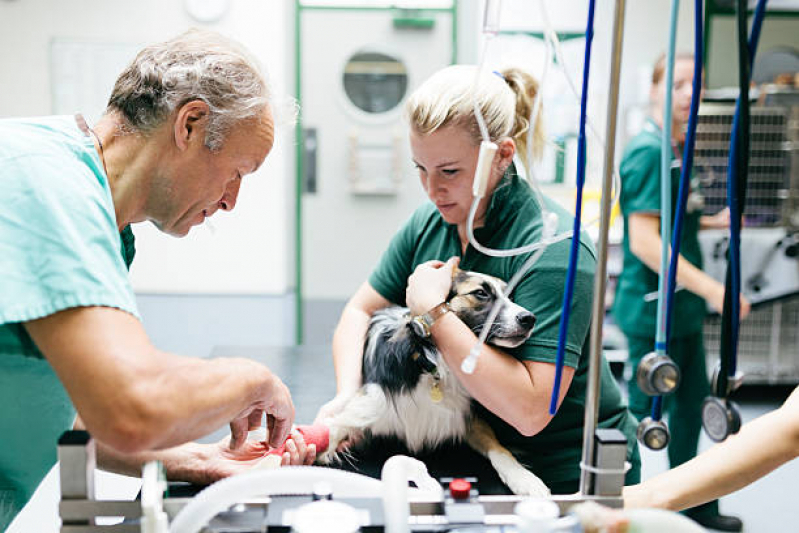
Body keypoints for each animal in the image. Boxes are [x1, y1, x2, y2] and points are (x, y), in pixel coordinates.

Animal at [316, 268, 552, 496]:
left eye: (510, 296)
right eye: (481, 293)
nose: (529, 318)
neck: (433, 363)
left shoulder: (466, 415)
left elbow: (499, 448)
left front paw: (524, 479)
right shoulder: (370, 404)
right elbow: (334, 427)